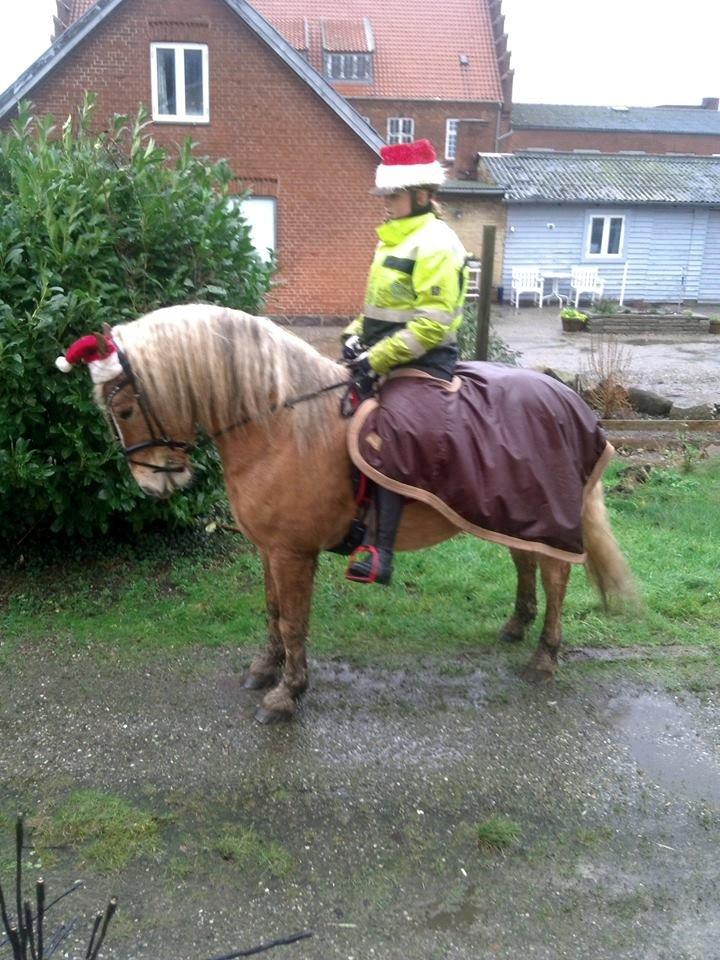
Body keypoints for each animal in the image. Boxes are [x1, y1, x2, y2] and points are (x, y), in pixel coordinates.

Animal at [86, 304, 636, 724]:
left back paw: (544, 657)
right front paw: (264, 669)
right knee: (526, 563)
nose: (154, 483)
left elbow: (294, 621)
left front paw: (288, 693)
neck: (280, 425)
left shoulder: (293, 553)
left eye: (126, 409)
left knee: (556, 578)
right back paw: (516, 627)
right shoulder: (269, 549)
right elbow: (272, 612)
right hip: (511, 513)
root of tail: (567, 397)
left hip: (541, 517)